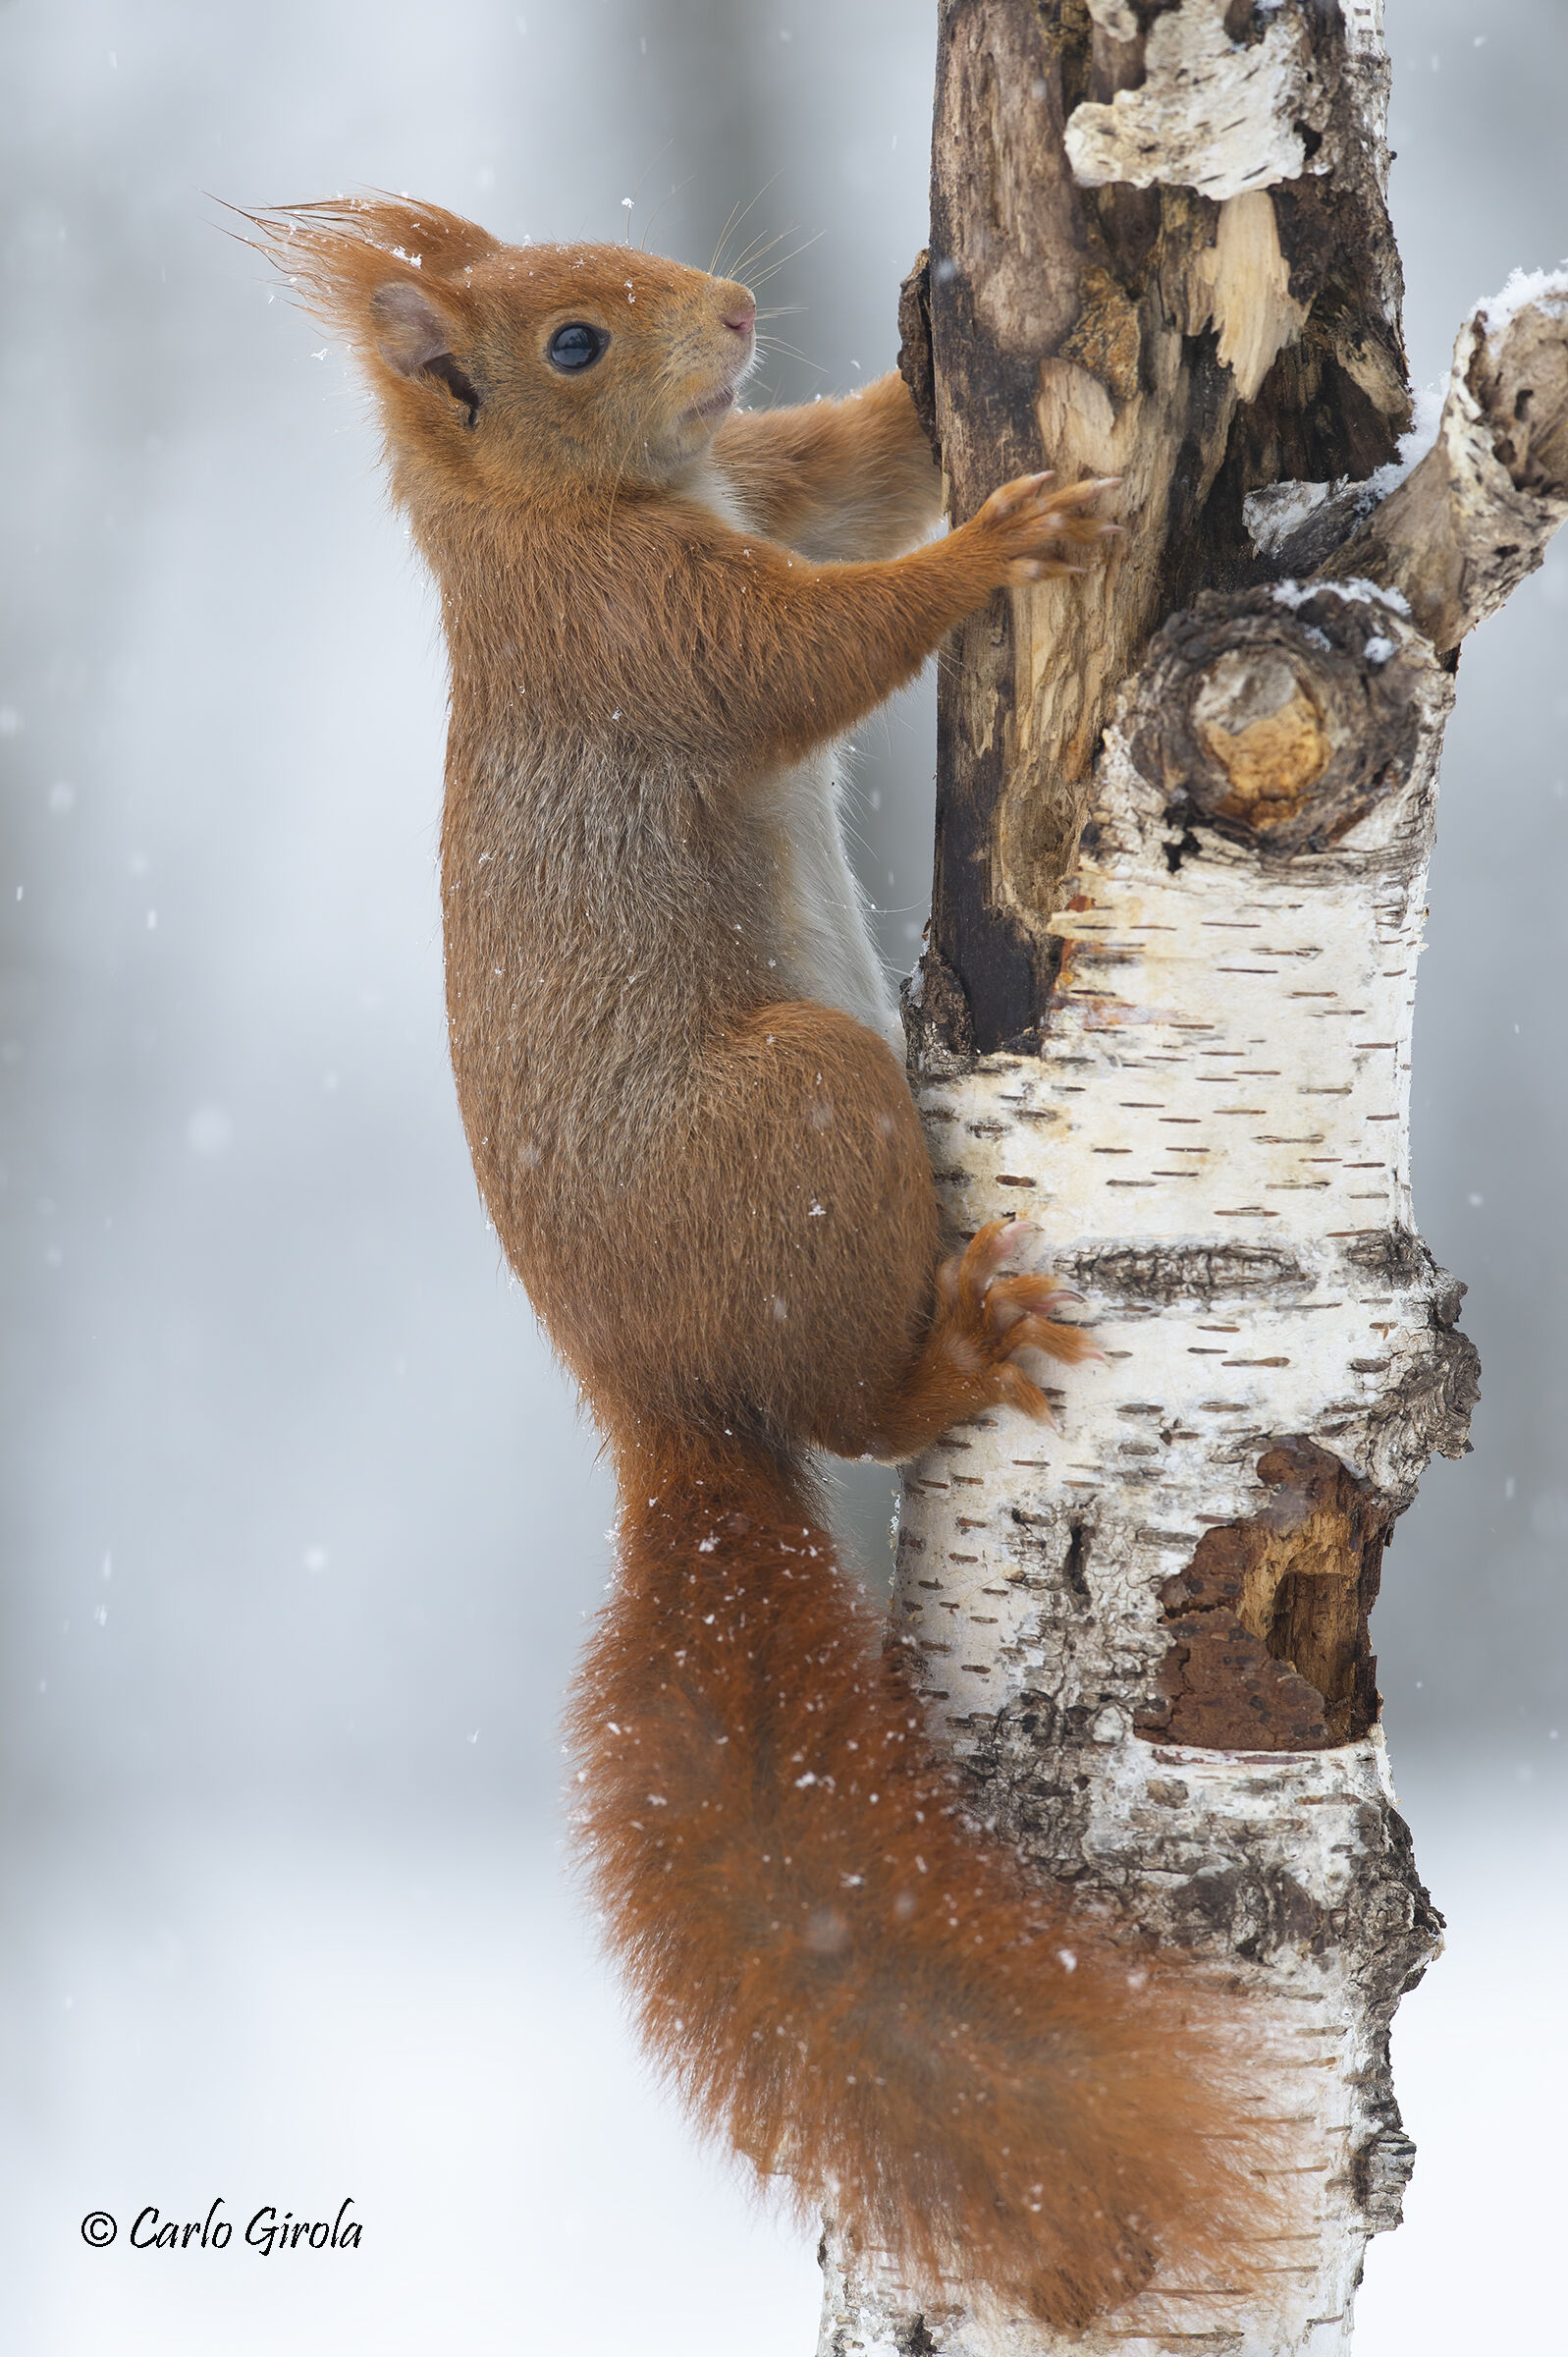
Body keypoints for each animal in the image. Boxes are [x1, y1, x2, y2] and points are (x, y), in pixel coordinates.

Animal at [256, 196, 1269, 2328]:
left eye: (599, 265)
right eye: (570, 341)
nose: (726, 312)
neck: (553, 517)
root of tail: (661, 1412)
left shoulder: (765, 486)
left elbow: (852, 467)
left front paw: (922, 337)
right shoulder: (646, 635)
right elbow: (811, 651)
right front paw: (1000, 540)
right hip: (805, 1115)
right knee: (860, 1402)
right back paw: (953, 1351)